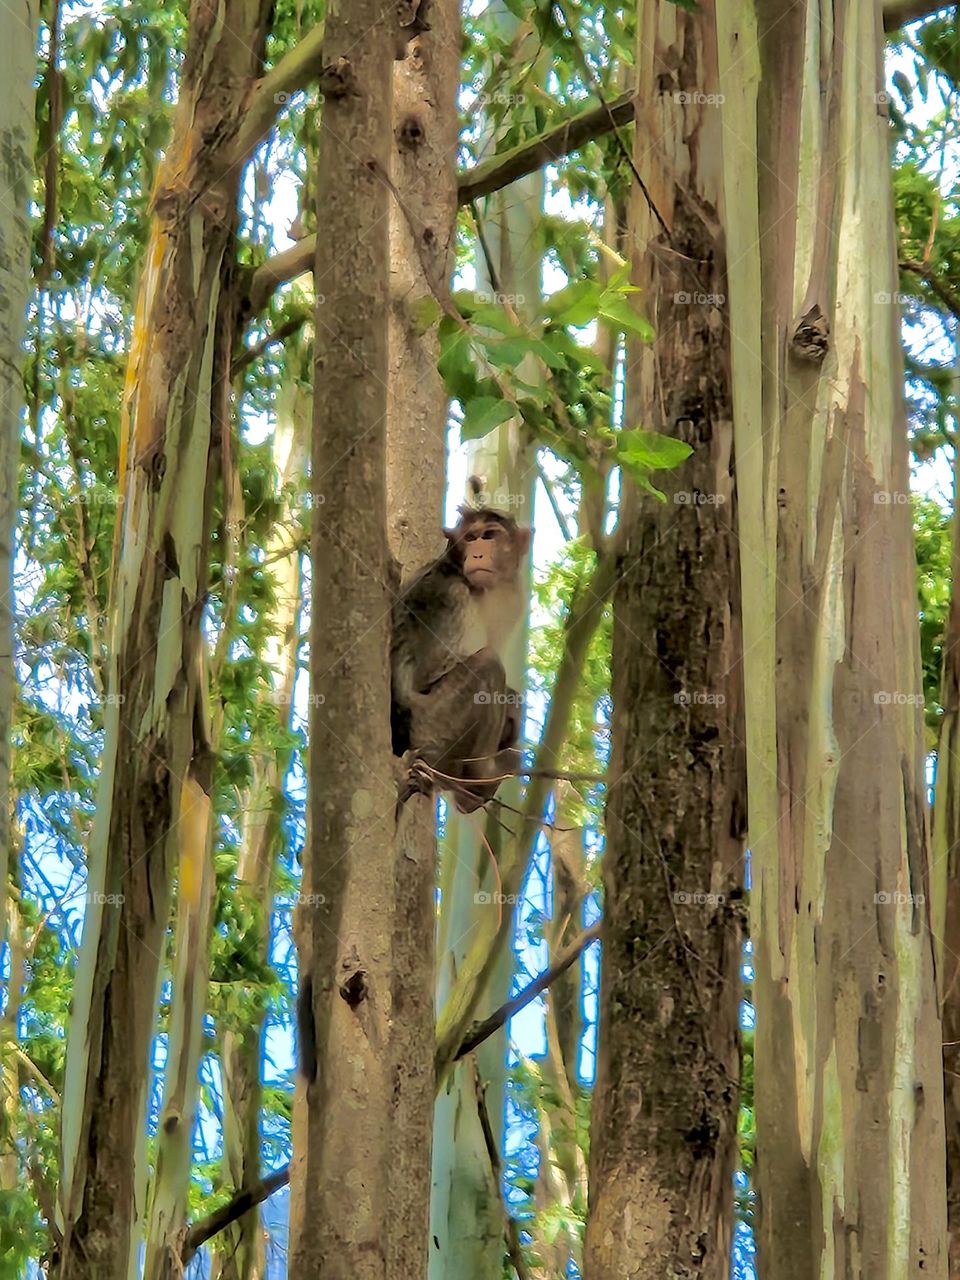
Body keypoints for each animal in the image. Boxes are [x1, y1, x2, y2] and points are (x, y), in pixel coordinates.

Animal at [391, 505, 531, 813]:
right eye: (470, 538)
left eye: (489, 536)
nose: (477, 554)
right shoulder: (452, 595)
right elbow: (430, 671)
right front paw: (512, 703)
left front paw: (514, 704)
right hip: (430, 728)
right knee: (488, 664)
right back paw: (479, 780)